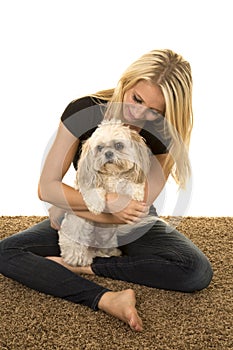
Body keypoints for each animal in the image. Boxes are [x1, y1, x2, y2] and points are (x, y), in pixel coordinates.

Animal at [58, 120, 155, 266]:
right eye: (99, 147)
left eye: (119, 145)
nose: (108, 153)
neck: (112, 174)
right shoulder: (87, 181)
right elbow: (94, 189)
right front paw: (96, 205)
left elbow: (130, 183)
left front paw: (136, 192)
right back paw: (79, 259)